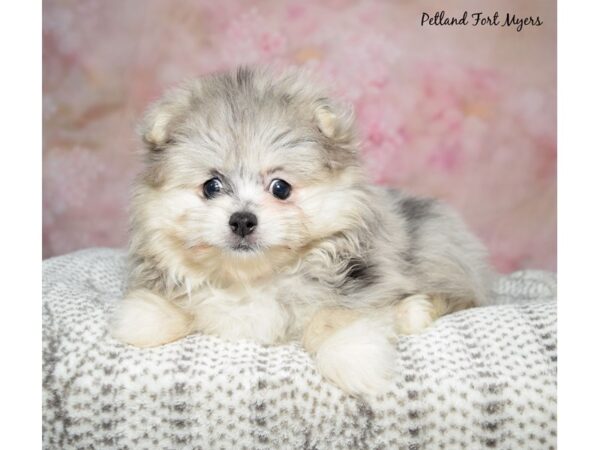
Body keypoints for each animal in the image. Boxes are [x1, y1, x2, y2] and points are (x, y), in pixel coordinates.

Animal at [111, 67, 492, 398]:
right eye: (211, 186)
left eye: (280, 188)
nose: (242, 220)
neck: (252, 278)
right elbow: (183, 305)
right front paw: (148, 315)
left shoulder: (365, 283)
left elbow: (330, 318)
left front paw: (353, 356)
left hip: (437, 246)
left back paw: (416, 310)